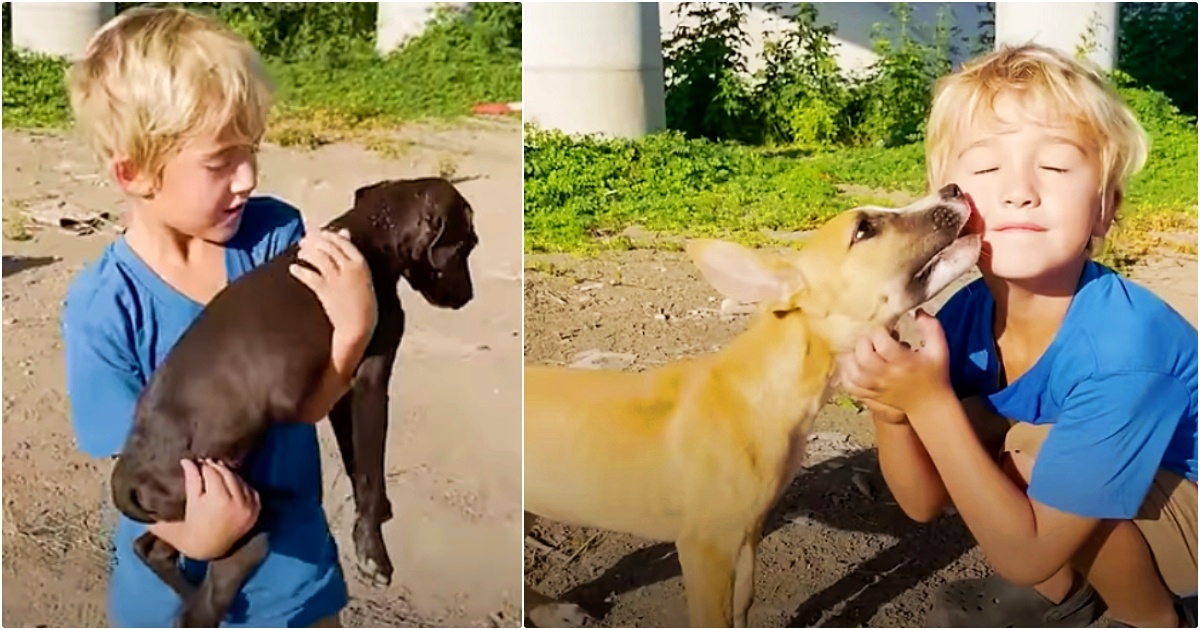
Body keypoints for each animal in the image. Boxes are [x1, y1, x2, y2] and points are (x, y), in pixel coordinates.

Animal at [110, 177, 477, 628]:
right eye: (468, 245)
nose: (468, 297)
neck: (366, 235)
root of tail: (128, 475)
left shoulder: (342, 391)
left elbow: (358, 465)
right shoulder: (370, 382)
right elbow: (371, 472)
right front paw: (373, 552)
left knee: (152, 550)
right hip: (240, 533)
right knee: (202, 606)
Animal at [525, 181, 984, 624]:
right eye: (864, 229)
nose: (954, 189)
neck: (763, 390)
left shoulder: (747, 534)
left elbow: (742, 605)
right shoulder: (705, 548)